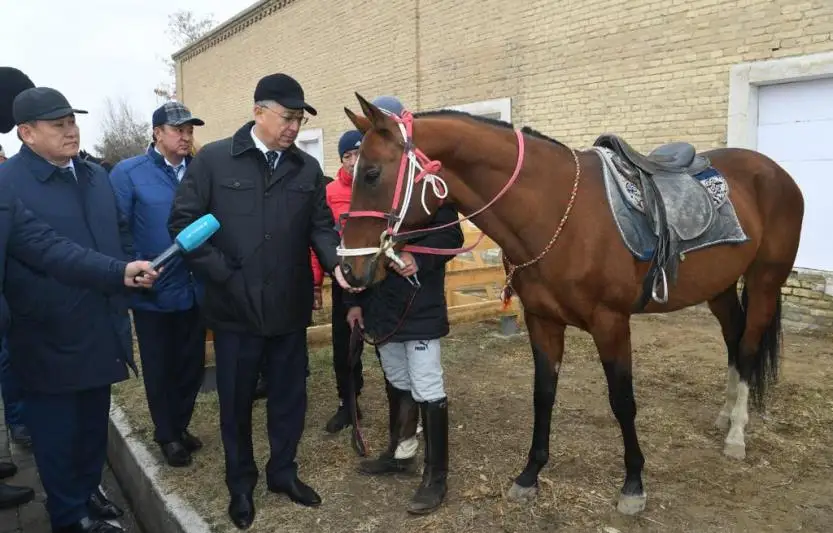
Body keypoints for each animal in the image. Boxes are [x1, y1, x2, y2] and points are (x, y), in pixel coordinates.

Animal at [334, 93, 804, 512]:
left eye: (371, 173)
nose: (350, 271)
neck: (557, 209)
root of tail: (775, 173)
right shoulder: (543, 321)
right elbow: (543, 394)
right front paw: (529, 475)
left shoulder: (611, 323)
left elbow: (622, 400)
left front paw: (633, 485)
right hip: (719, 289)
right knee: (733, 341)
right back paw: (724, 416)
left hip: (765, 282)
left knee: (747, 348)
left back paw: (736, 434)